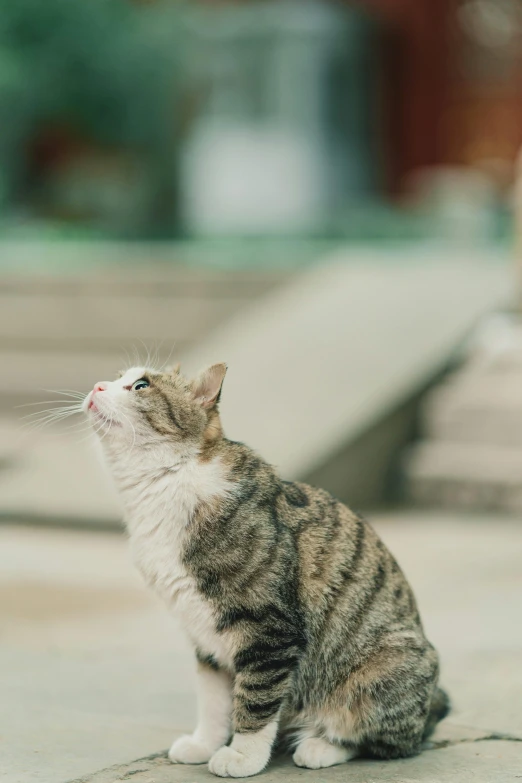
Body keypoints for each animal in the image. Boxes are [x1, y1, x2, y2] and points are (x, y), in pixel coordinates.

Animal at [82, 362, 446, 776]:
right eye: (117, 378)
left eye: (141, 386)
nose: (97, 386)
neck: (163, 485)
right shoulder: (204, 635)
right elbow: (214, 701)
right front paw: (204, 743)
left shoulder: (269, 629)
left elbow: (255, 699)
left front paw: (243, 756)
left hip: (386, 665)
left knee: (389, 739)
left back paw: (321, 746)